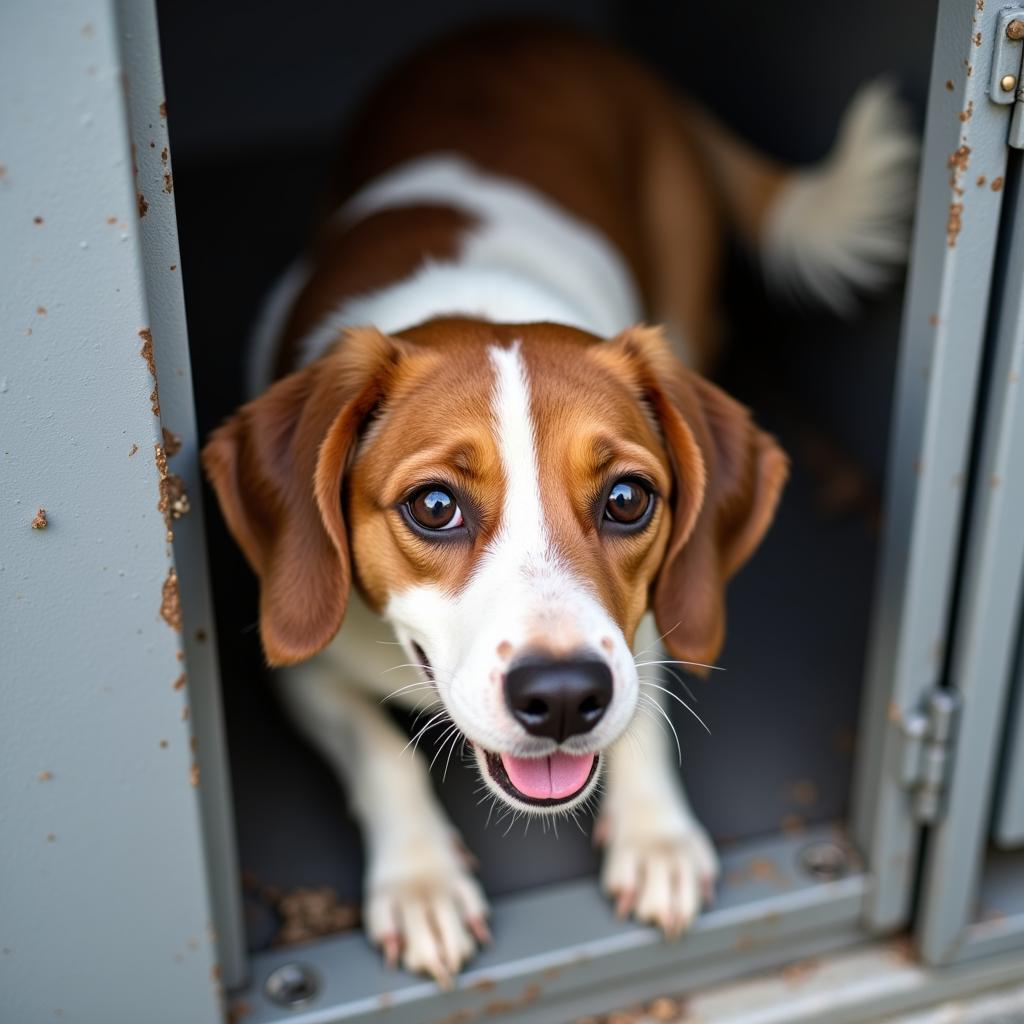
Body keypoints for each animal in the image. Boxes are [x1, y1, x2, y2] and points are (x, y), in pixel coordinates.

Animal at [199, 22, 913, 983]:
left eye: (627, 498)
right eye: (433, 507)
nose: (568, 696)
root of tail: (540, 28)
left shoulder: (644, 621)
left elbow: (647, 699)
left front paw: (654, 833)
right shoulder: (302, 664)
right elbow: (382, 755)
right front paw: (420, 881)